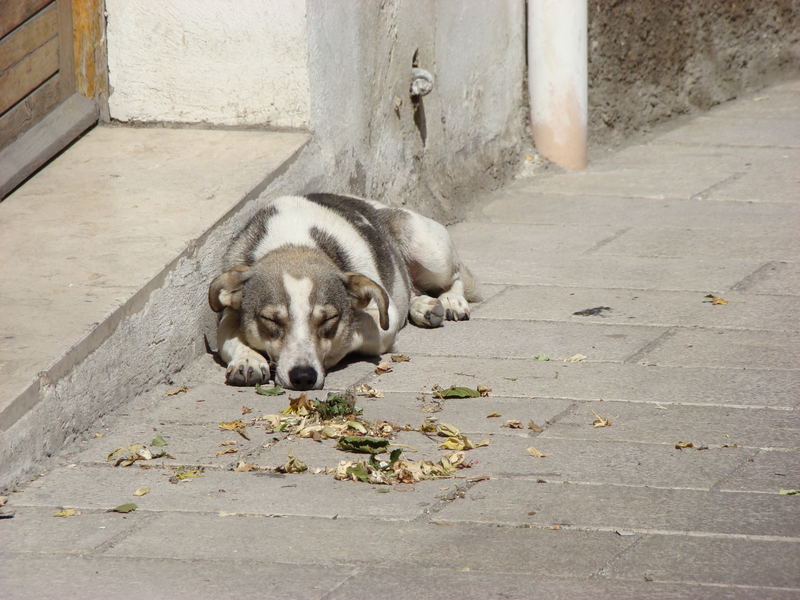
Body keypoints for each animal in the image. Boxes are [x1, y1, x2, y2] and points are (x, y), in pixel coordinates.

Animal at [209, 192, 478, 390]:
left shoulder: (383, 319)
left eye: (328, 318)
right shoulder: (228, 316)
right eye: (270, 319)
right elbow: (231, 337)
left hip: (431, 252)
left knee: (456, 275)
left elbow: (350, 334)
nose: (303, 377)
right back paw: (424, 306)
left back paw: (451, 300)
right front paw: (248, 360)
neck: (294, 245)